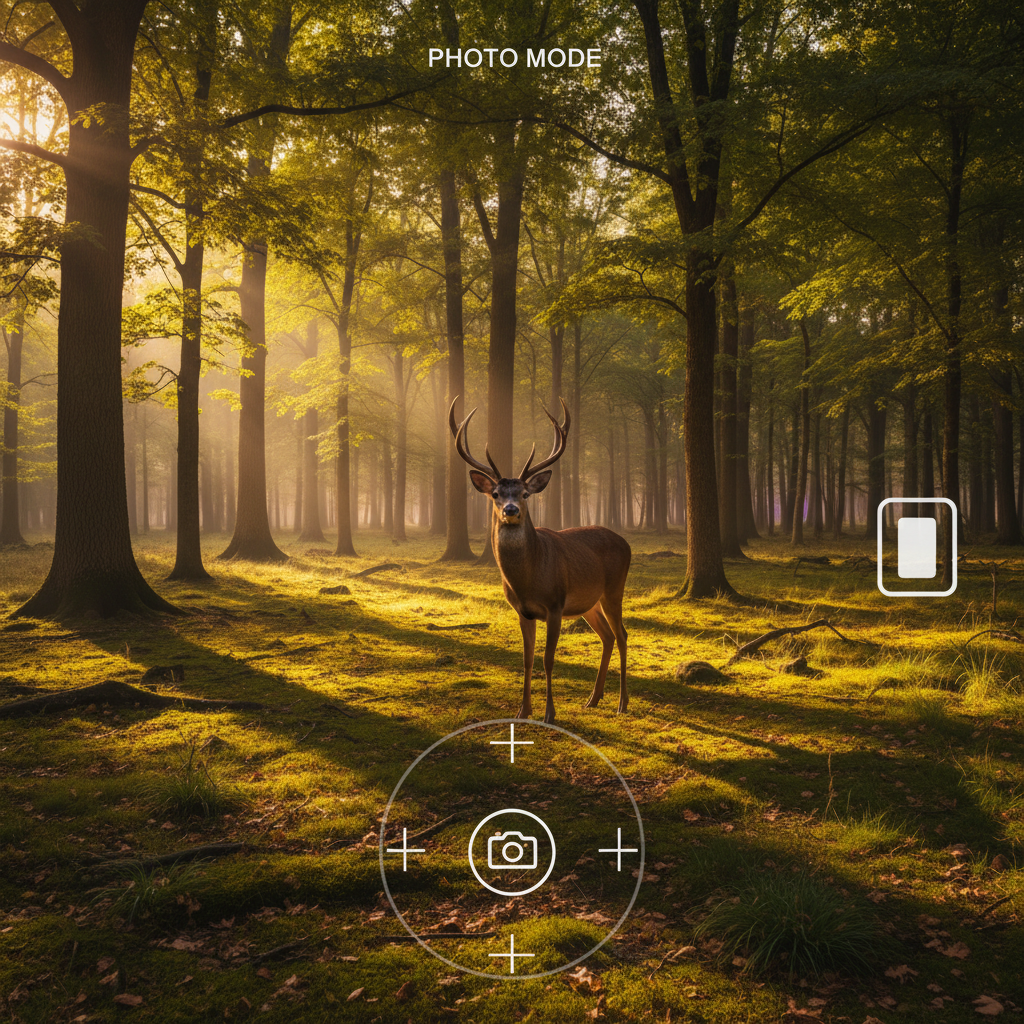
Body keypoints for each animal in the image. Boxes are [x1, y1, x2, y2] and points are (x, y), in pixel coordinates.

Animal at [450, 398, 631, 725]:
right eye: (495, 493)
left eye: (525, 493)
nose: (510, 510)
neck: (529, 580)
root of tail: (626, 543)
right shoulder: (523, 611)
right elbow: (527, 659)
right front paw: (523, 710)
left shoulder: (556, 604)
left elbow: (548, 659)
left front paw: (549, 713)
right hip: (589, 602)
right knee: (608, 636)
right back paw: (593, 699)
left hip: (614, 589)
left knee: (622, 634)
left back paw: (622, 703)